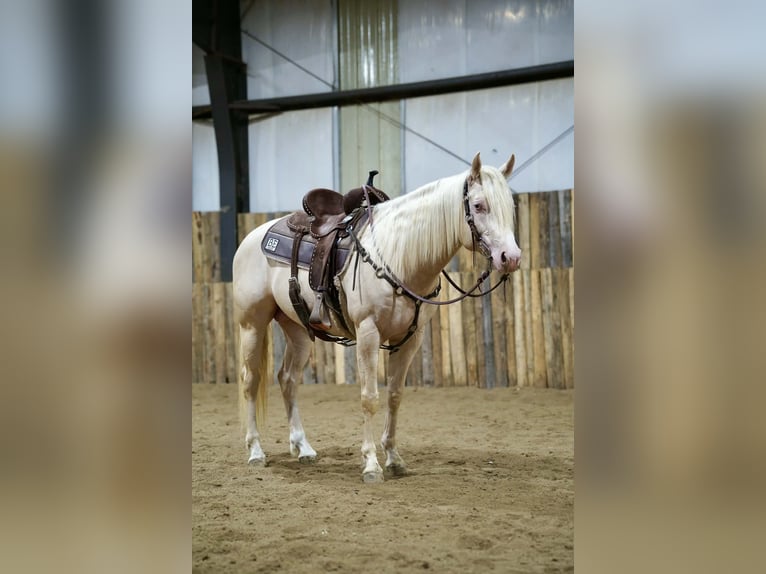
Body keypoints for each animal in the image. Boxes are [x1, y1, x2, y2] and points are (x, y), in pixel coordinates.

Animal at [232, 152, 522, 483]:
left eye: (509, 207)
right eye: (479, 205)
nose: (511, 258)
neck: (400, 255)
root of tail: (253, 237)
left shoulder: (411, 339)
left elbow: (395, 396)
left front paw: (394, 459)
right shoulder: (368, 334)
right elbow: (369, 397)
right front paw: (371, 464)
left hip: (298, 329)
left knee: (288, 379)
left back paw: (303, 447)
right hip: (252, 324)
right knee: (250, 380)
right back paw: (256, 451)